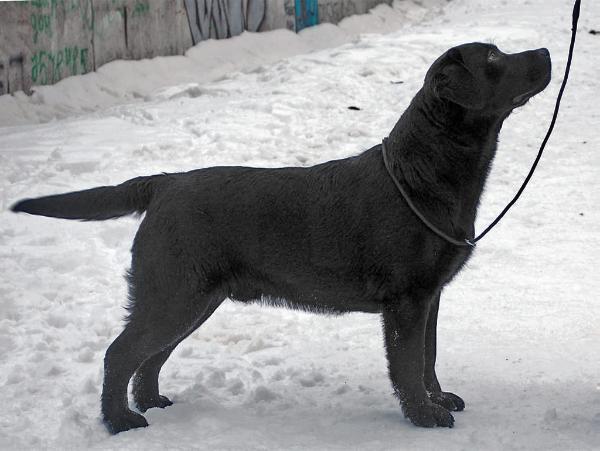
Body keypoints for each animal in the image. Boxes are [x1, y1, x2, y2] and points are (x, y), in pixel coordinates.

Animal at [11, 42, 552, 434]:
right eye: (493, 59)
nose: (546, 52)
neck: (420, 172)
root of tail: (164, 182)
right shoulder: (407, 302)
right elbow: (408, 365)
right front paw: (424, 416)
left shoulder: (430, 297)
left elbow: (429, 356)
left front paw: (439, 398)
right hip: (173, 294)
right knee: (120, 353)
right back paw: (120, 421)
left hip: (192, 299)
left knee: (150, 357)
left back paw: (152, 404)